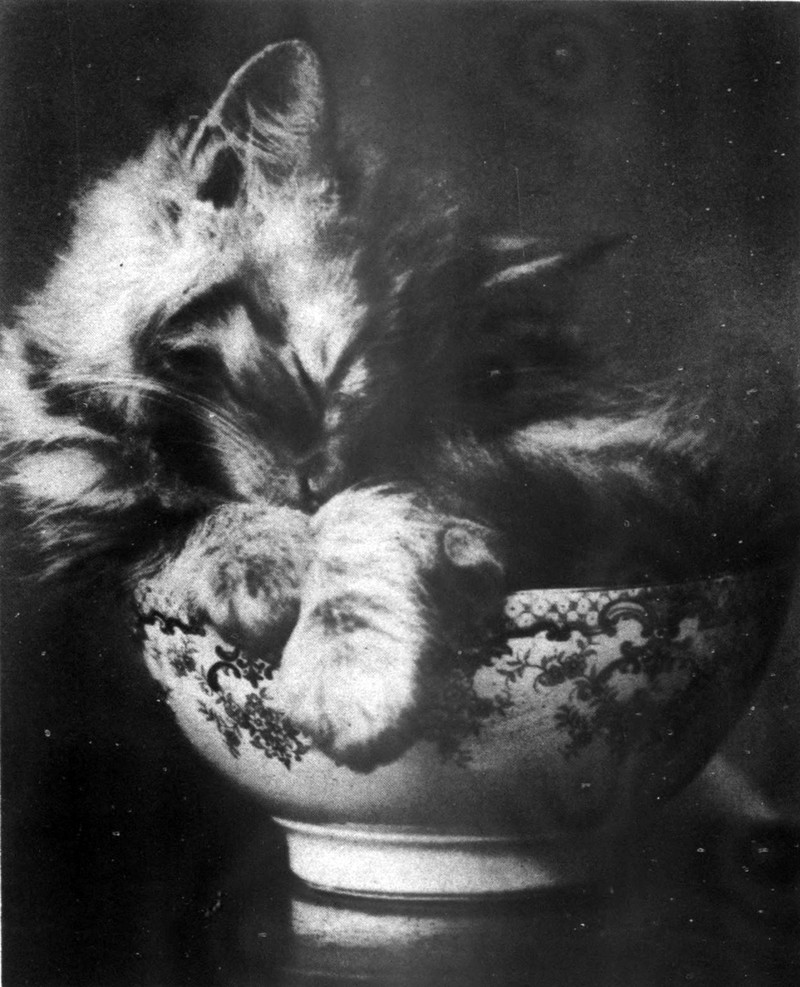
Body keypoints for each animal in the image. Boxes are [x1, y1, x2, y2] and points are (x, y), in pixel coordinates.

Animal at [1, 40, 798, 771]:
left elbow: (368, 515)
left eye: (406, 414)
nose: (320, 484)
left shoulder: (434, 464)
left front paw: (344, 665)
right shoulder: (73, 507)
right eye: (313, 374)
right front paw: (259, 553)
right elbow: (173, 520)